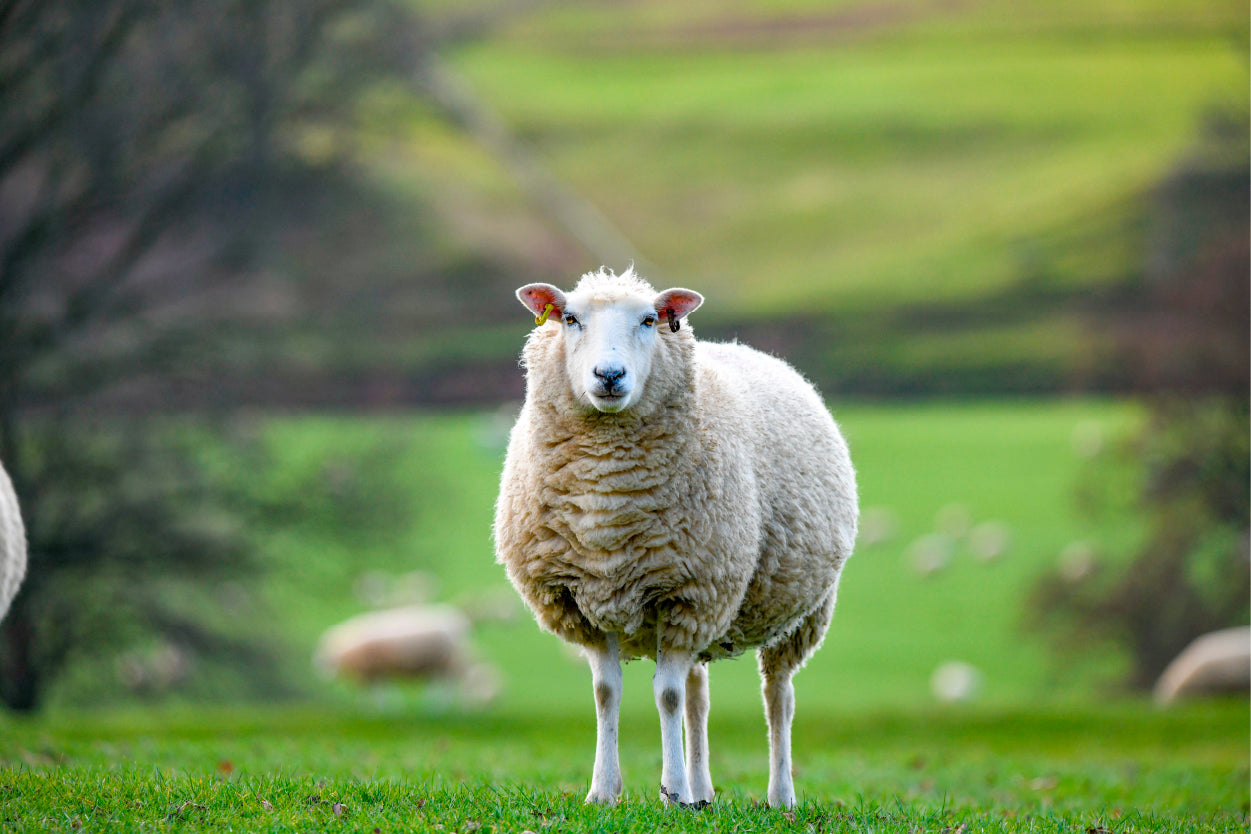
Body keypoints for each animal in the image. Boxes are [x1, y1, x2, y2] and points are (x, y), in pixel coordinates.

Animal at [494, 266, 858, 808]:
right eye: (570, 319)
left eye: (649, 319)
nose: (609, 376)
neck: (608, 502)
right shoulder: (583, 600)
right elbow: (607, 693)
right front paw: (603, 791)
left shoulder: (689, 595)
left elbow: (665, 695)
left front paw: (672, 791)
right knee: (698, 696)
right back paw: (704, 790)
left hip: (802, 613)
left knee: (778, 696)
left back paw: (778, 795)